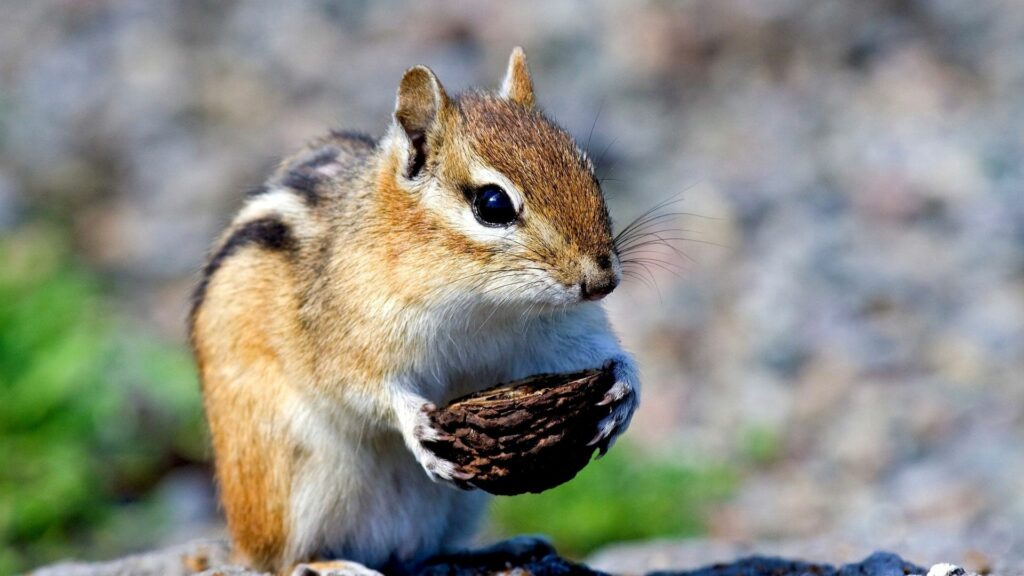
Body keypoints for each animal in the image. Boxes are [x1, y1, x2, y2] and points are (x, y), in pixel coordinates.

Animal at [189, 47, 639, 575]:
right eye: (492, 204)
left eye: (587, 169)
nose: (603, 282)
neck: (487, 305)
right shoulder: (348, 333)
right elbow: (361, 386)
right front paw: (416, 425)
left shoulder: (559, 332)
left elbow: (602, 353)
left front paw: (625, 390)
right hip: (293, 481)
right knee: (283, 561)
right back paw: (339, 565)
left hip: (460, 504)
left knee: (425, 553)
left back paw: (502, 547)